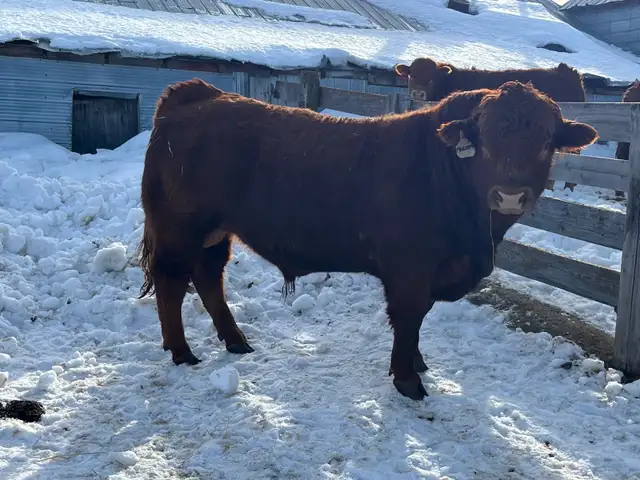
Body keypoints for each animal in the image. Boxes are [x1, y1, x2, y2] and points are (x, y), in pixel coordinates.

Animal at [137, 79, 598, 401]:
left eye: (546, 142)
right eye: (483, 140)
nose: (510, 194)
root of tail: (199, 95)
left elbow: (418, 321)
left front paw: (417, 364)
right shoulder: (410, 269)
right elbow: (408, 318)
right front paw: (408, 380)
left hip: (215, 232)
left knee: (208, 277)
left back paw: (236, 341)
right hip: (179, 229)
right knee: (171, 282)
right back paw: (181, 352)